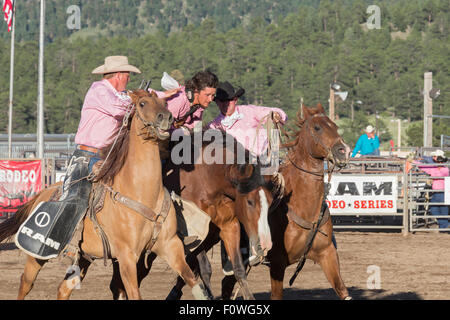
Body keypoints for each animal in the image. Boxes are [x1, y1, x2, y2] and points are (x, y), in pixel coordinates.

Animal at [0, 89, 209, 300]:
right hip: (36, 255)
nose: (166, 117)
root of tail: (44, 192)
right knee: (26, 283)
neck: (142, 193)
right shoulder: (126, 256)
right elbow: (133, 293)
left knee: (64, 288)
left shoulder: (171, 246)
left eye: (165, 103)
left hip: (84, 257)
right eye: (142, 103)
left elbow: (193, 281)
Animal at [110, 129, 274, 300]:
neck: (208, 180)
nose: (265, 244)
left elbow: (239, 269)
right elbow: (205, 269)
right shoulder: (196, 233)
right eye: (250, 201)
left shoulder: (229, 226)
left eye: (271, 200)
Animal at [220, 103, 354, 300]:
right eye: (317, 127)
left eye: (336, 126)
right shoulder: (277, 265)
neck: (302, 206)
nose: (344, 150)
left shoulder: (327, 253)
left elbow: (342, 290)